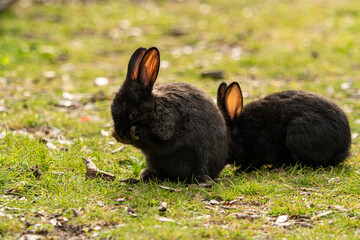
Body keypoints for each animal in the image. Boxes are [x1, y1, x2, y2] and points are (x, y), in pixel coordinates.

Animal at [110, 47, 228, 183]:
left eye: (133, 114)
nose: (120, 132)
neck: (154, 109)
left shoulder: (168, 125)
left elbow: (160, 142)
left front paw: (137, 130)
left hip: (202, 159)